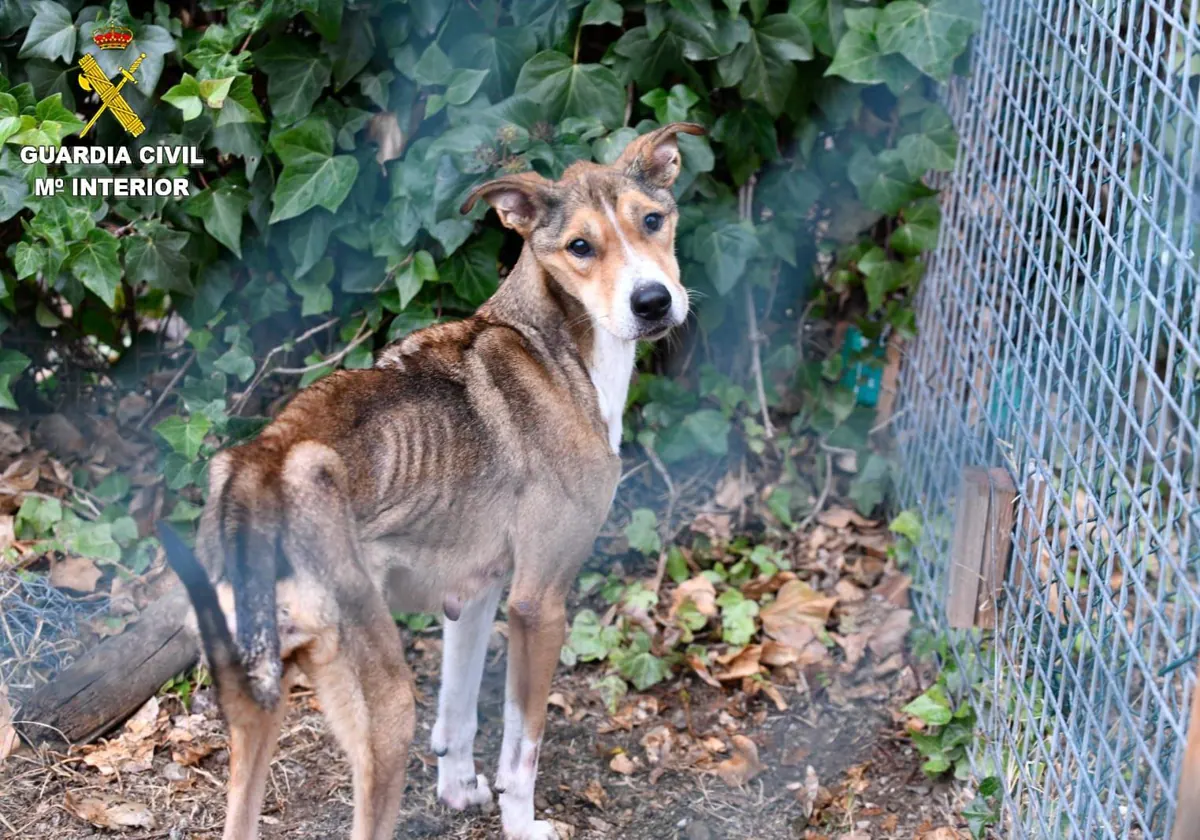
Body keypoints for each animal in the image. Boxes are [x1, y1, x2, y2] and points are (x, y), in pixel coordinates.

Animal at [159, 121, 700, 840]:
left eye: (653, 221)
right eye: (580, 247)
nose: (653, 302)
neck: (553, 340)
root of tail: (261, 469)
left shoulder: (472, 590)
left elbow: (460, 711)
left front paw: (458, 790)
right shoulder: (538, 603)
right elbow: (521, 751)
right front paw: (522, 824)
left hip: (253, 712)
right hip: (385, 708)